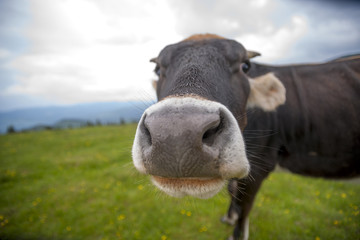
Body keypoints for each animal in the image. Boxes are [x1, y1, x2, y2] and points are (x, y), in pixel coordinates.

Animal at [131, 34, 360, 240]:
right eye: (158, 69)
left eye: (245, 66)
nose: (177, 135)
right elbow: (233, 191)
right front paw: (229, 217)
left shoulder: (259, 168)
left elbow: (244, 209)